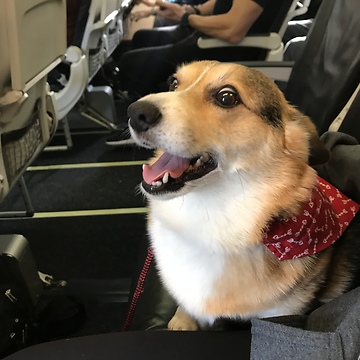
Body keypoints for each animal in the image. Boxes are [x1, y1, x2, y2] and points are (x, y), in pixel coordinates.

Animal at [127, 60, 360, 330]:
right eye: (173, 83)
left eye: (226, 97)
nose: (135, 113)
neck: (211, 215)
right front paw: (181, 321)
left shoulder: (279, 313)